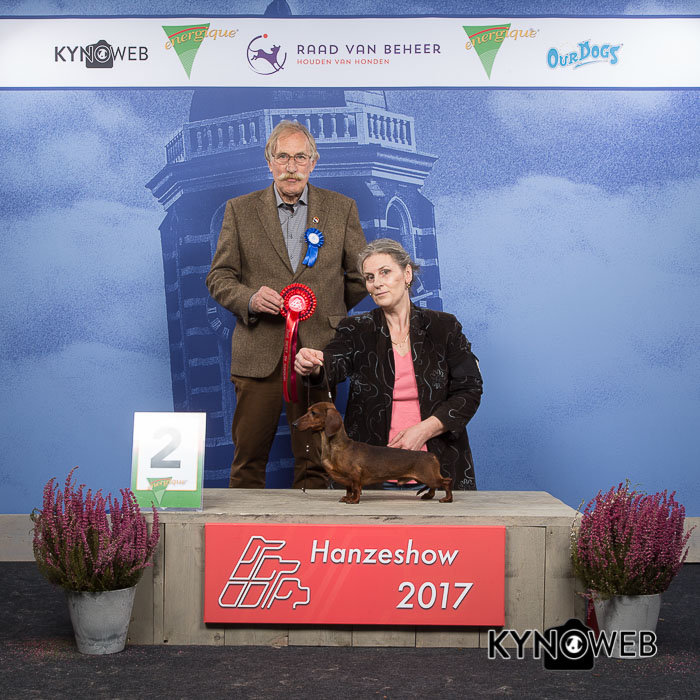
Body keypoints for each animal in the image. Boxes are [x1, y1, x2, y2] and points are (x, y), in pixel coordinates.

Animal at [293, 402, 453, 504]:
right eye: (308, 410)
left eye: (313, 413)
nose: (294, 424)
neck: (336, 446)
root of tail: (432, 455)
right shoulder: (347, 479)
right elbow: (348, 489)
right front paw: (347, 498)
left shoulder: (355, 475)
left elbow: (356, 489)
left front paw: (354, 500)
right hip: (427, 478)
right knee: (435, 486)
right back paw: (428, 495)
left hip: (429, 477)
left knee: (446, 482)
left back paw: (447, 499)